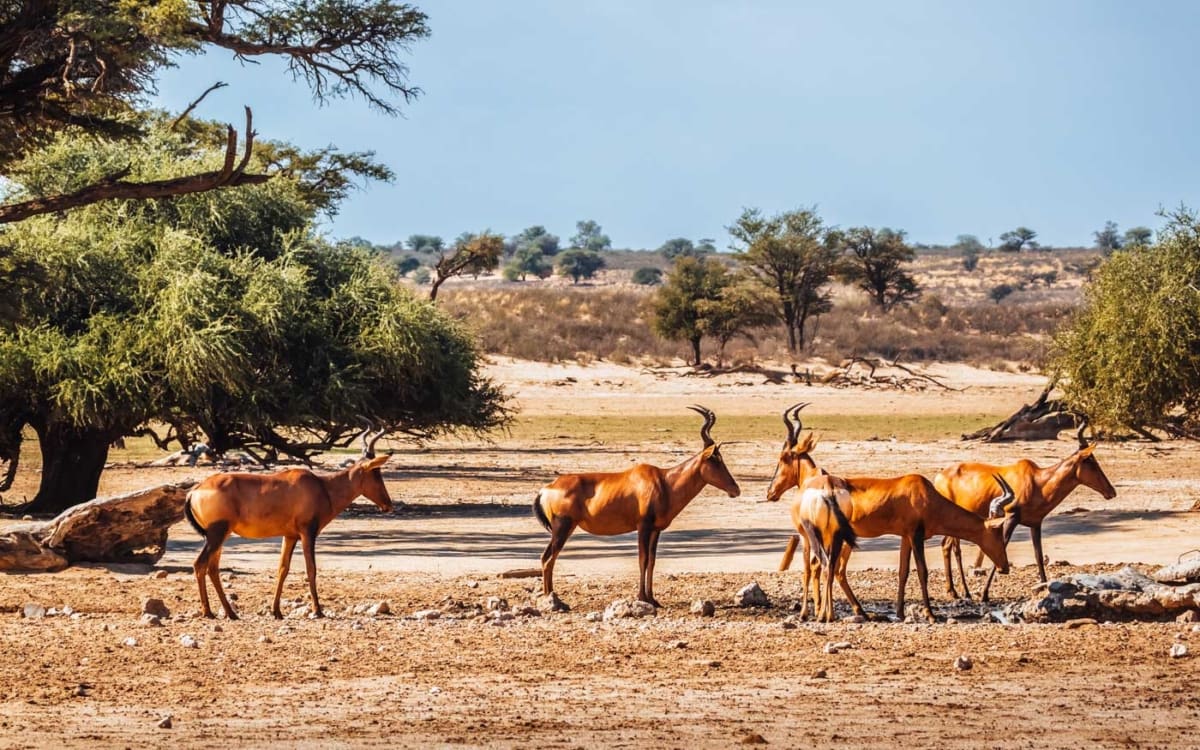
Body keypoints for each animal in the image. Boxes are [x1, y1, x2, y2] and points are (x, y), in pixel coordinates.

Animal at [183, 444, 393, 619]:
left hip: (221, 535)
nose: (388, 505)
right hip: (216, 534)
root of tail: (194, 491)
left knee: (212, 568)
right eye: (376, 473)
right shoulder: (308, 532)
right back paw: (208, 612)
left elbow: (283, 569)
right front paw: (318, 610)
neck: (322, 486)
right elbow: (311, 569)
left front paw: (276, 611)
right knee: (199, 564)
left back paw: (231, 613)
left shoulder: (290, 536)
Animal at [535, 403, 739, 609]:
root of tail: (547, 488)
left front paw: (653, 599)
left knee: (547, 557)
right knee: (548, 558)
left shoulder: (656, 530)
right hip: (562, 527)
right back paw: (552, 600)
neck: (664, 482)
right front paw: (642, 597)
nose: (735, 490)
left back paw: (551, 599)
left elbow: (652, 561)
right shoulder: (643, 526)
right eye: (716, 459)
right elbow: (643, 559)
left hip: (566, 528)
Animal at [931, 417, 1118, 600]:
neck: (1036, 481)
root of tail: (939, 477)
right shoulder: (1010, 518)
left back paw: (956, 592)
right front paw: (984, 594)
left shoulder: (1035, 524)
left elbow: (1038, 556)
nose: (1111, 491)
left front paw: (1045, 588)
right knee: (952, 547)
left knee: (947, 545)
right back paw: (962, 592)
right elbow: (1002, 547)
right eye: (1091, 461)